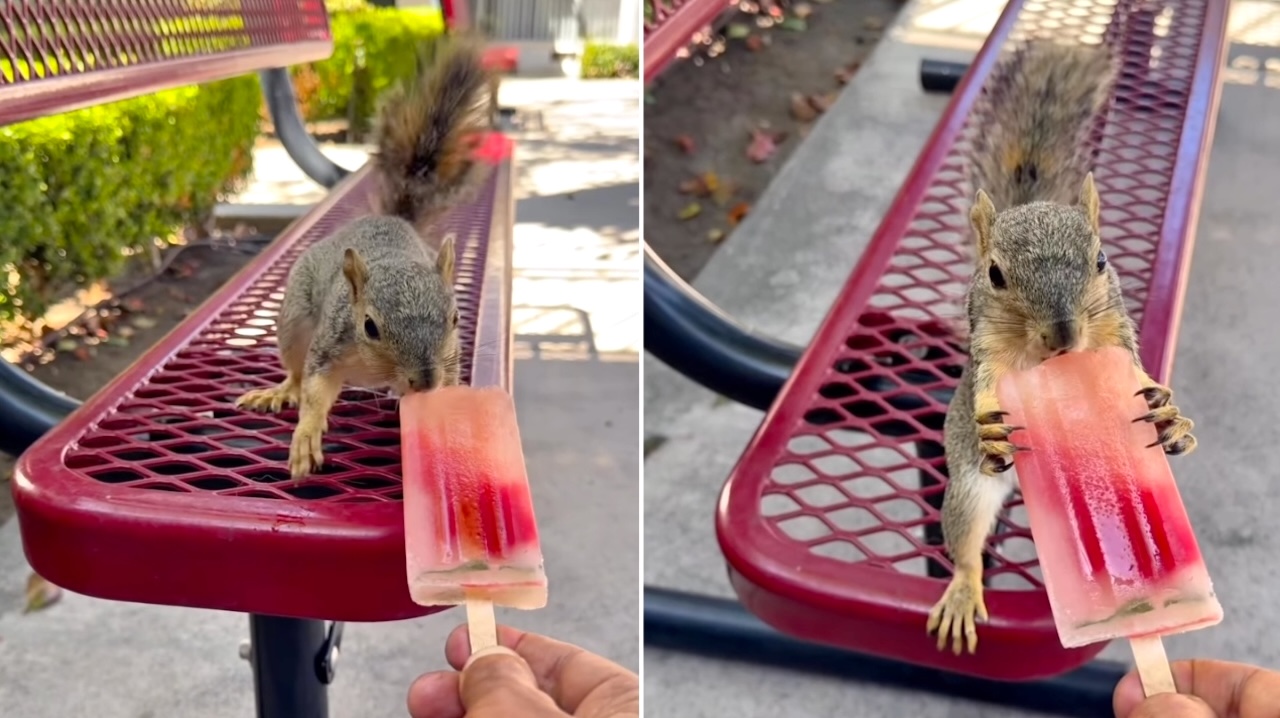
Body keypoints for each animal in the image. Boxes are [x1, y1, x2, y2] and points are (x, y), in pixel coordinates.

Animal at [234, 38, 493, 480]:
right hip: (293, 321)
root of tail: (391, 219)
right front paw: (306, 438)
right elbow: (315, 391)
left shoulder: (450, 357)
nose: (425, 381)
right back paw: (281, 390)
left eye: (457, 318)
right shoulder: (329, 344)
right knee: (296, 372)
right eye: (370, 326)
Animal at [924, 40, 1198, 655]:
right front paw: (991, 430)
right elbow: (987, 391)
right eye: (994, 275)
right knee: (966, 541)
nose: (1064, 336)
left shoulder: (1115, 334)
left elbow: (1140, 377)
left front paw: (1169, 418)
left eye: (1102, 259)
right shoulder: (987, 351)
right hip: (968, 490)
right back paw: (961, 590)